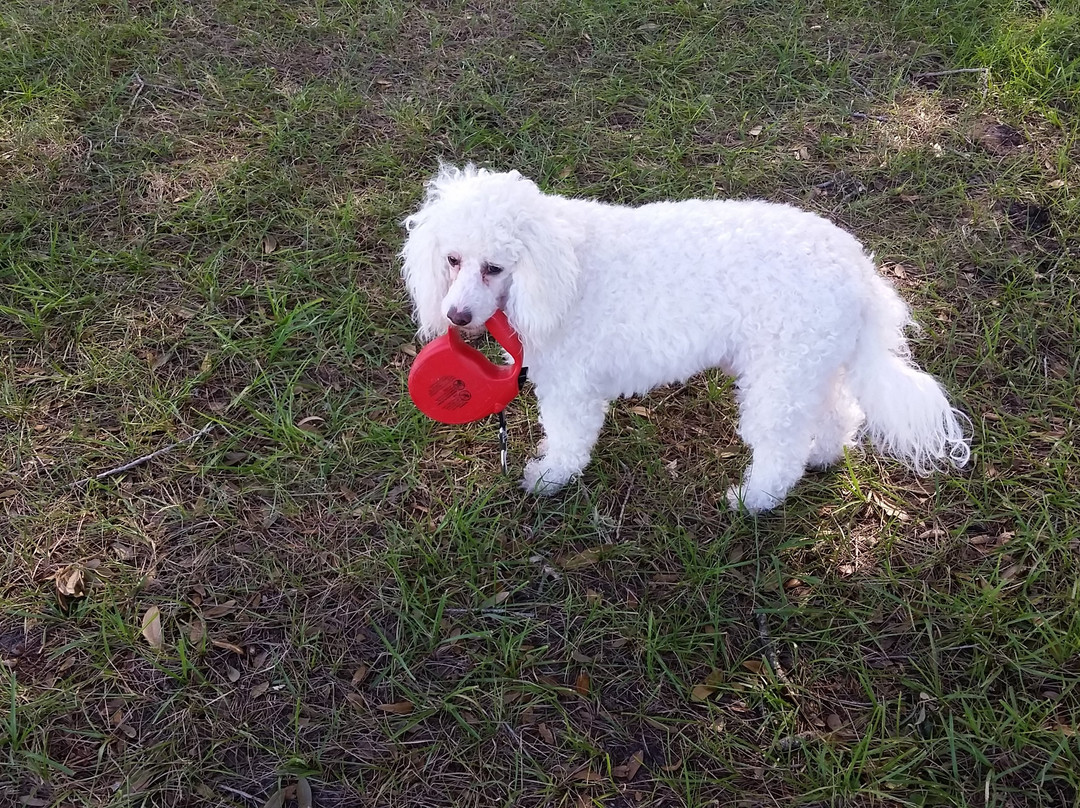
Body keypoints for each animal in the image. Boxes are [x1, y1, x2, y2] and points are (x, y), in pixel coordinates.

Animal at [399, 165, 972, 512]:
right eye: (452, 259)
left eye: (494, 267)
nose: (456, 316)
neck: (561, 265)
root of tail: (862, 273)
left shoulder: (570, 387)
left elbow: (568, 440)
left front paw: (549, 478)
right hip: (809, 362)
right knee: (836, 414)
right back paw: (823, 456)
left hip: (780, 375)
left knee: (781, 447)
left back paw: (754, 499)